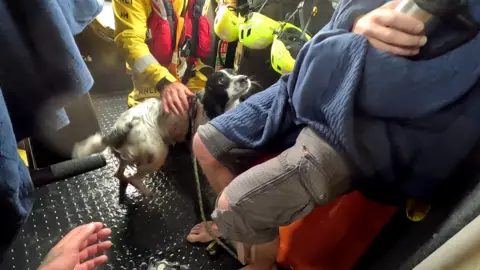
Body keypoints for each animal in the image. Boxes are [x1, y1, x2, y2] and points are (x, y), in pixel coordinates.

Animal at [73, 69, 264, 200]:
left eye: (234, 72)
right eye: (221, 81)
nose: (245, 78)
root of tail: (124, 124)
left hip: (128, 155)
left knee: (120, 174)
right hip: (157, 154)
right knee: (134, 178)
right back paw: (148, 193)